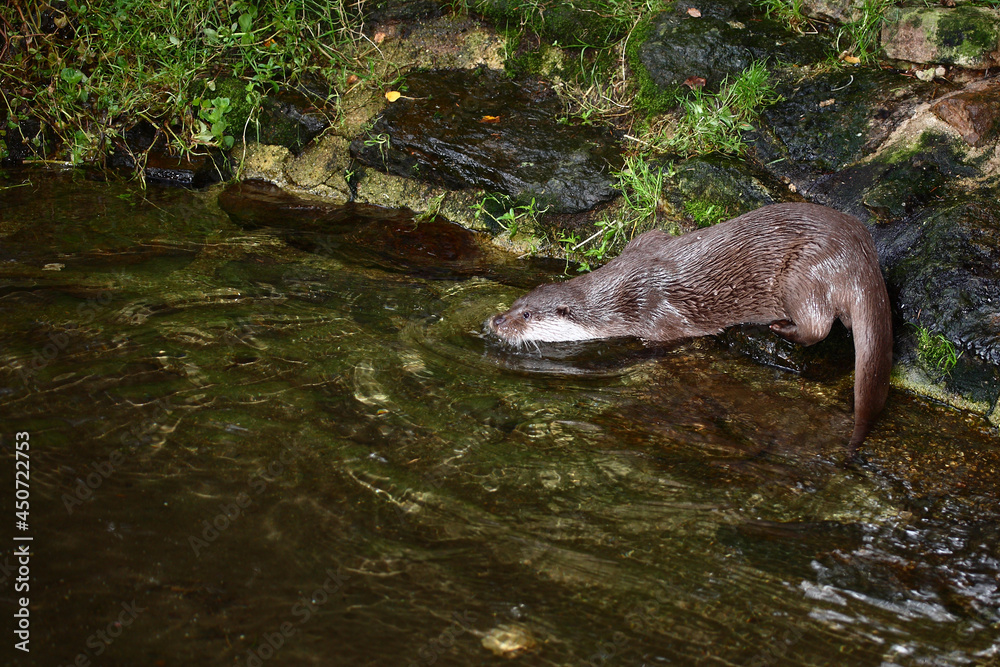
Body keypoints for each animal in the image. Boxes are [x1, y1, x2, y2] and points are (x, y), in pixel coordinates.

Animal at [488, 202, 892, 451]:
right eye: (517, 304)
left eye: (526, 316)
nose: (496, 320)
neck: (621, 291)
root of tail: (859, 254)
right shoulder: (645, 241)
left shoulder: (657, 316)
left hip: (804, 275)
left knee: (817, 326)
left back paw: (779, 328)